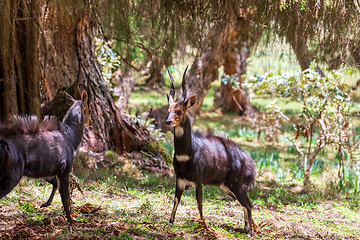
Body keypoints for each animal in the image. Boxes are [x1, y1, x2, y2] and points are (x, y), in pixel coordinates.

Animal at [0, 90, 90, 223]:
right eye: (88, 108)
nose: (90, 121)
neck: (71, 139)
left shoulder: (45, 170)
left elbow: (55, 183)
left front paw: (45, 204)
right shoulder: (65, 169)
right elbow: (65, 198)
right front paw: (71, 221)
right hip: (13, 173)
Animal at [166, 67, 256, 236]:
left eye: (180, 111)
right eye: (168, 110)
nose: (168, 121)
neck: (187, 153)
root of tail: (250, 162)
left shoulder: (198, 180)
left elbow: (200, 204)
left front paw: (205, 228)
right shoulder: (180, 179)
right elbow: (176, 201)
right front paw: (170, 223)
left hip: (237, 184)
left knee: (248, 203)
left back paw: (250, 232)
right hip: (226, 186)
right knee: (245, 203)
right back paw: (246, 227)